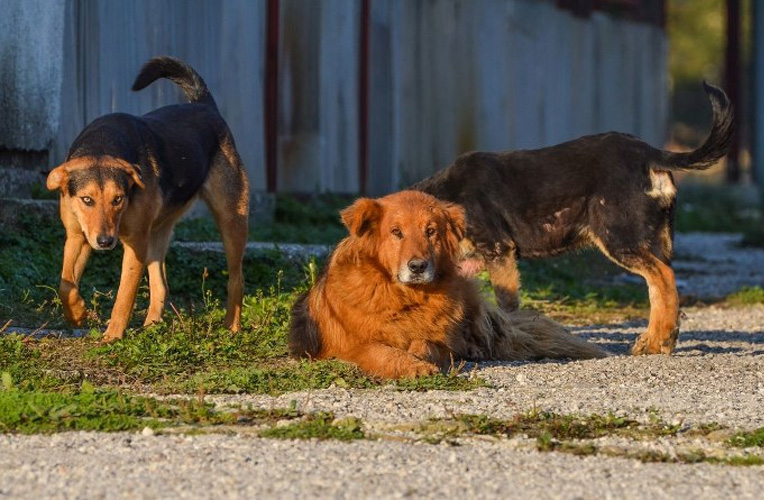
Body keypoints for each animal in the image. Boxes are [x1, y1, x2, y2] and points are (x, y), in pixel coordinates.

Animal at [46, 56, 249, 342]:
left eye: (118, 199)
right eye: (86, 200)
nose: (106, 242)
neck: (102, 146)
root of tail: (204, 106)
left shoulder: (135, 244)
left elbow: (124, 296)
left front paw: (113, 335)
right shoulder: (77, 237)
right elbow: (66, 283)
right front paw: (77, 314)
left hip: (231, 220)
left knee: (236, 279)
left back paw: (231, 326)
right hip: (157, 233)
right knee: (161, 285)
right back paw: (152, 325)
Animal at [290, 191, 604, 378]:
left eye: (431, 232)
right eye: (396, 232)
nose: (418, 266)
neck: (407, 297)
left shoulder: (441, 339)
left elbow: (428, 343)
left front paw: (420, 355)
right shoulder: (354, 344)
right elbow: (383, 351)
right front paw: (412, 365)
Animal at [418, 83, 736, 356]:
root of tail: (649, 153)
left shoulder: (498, 251)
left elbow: (508, 305)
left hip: (620, 238)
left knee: (664, 278)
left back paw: (659, 342)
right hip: (654, 240)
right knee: (660, 287)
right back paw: (657, 340)